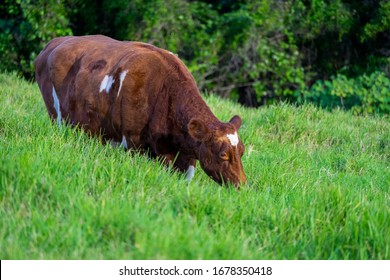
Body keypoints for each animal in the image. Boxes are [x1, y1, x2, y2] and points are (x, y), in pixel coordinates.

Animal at [34, 35, 247, 186]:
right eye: (223, 154)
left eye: (242, 152)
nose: (241, 185)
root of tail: (54, 43)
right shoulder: (133, 143)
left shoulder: (185, 156)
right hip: (57, 117)